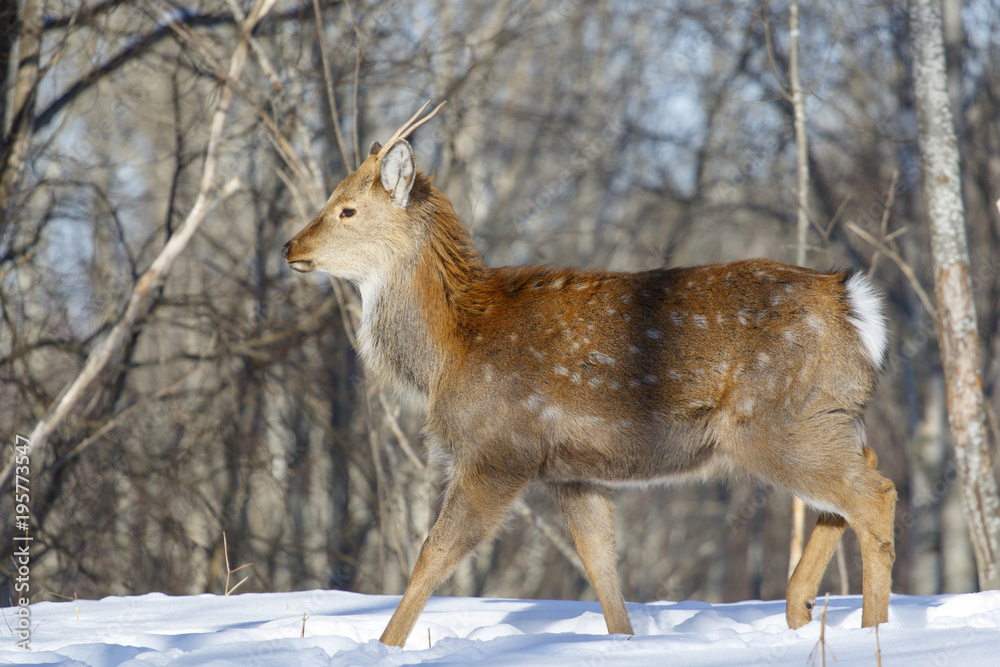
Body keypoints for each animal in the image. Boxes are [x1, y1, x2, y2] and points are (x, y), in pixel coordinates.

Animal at [281, 102, 897, 648]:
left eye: (346, 210)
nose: (289, 246)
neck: (446, 349)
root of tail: (852, 304)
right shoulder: (573, 471)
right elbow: (601, 566)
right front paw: (622, 641)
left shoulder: (499, 447)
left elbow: (434, 553)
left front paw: (384, 646)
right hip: (815, 416)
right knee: (853, 483)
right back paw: (800, 608)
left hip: (774, 418)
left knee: (874, 494)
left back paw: (873, 631)